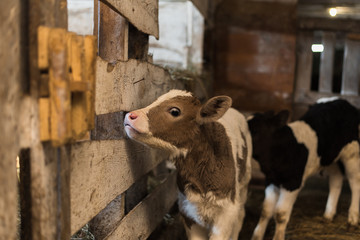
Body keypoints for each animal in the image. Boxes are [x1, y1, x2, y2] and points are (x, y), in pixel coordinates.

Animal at [123, 90, 250, 240]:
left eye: (175, 111)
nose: (130, 115)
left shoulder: (225, 215)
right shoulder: (188, 211)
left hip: (244, 183)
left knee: (241, 215)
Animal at [248, 97, 360, 240]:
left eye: (255, 131)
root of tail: (342, 100)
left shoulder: (293, 183)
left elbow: (280, 214)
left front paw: (278, 236)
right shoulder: (271, 180)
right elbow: (265, 211)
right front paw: (257, 236)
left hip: (352, 153)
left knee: (355, 182)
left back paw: (353, 218)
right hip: (330, 157)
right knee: (336, 179)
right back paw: (328, 214)